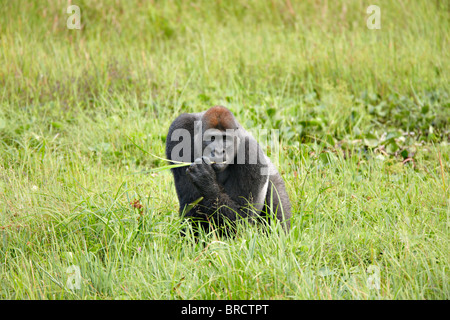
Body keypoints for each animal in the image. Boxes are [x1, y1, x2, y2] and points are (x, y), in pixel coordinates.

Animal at [165, 105, 292, 235]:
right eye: (212, 138)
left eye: (225, 138)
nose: (219, 151)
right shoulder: (180, 126)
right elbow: (190, 201)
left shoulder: (251, 152)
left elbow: (241, 220)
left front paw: (206, 181)